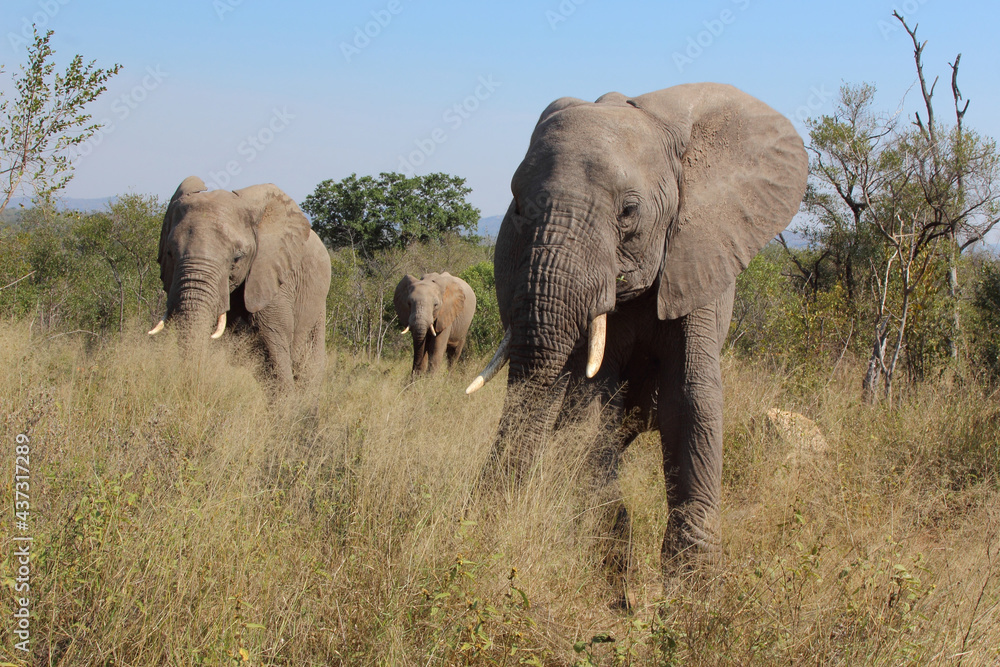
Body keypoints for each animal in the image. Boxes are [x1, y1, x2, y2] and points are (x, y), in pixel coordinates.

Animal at [149, 176, 332, 392]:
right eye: (169, 253)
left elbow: (276, 363)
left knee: (308, 372)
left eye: (237, 258)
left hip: (316, 307)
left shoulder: (272, 280)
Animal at [466, 83, 807, 596]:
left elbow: (692, 398)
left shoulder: (697, 256)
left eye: (629, 212)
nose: (477, 519)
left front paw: (695, 591)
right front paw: (612, 567)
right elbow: (593, 400)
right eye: (518, 208)